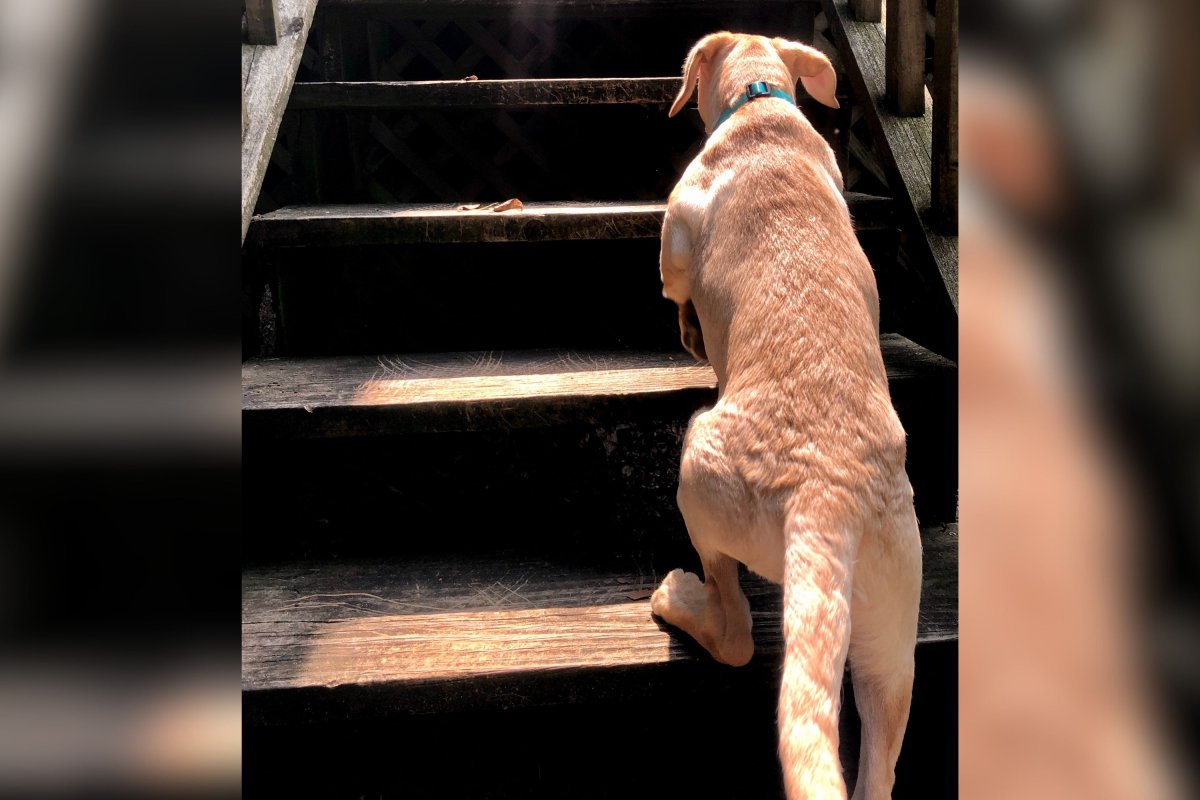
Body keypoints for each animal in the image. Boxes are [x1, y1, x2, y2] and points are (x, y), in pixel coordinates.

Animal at [652, 31, 921, 800]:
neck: (761, 105)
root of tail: (827, 496)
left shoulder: (675, 234)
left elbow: (673, 283)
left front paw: (689, 328)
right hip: (892, 643)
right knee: (877, 767)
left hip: (699, 473)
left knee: (738, 630)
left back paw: (681, 600)